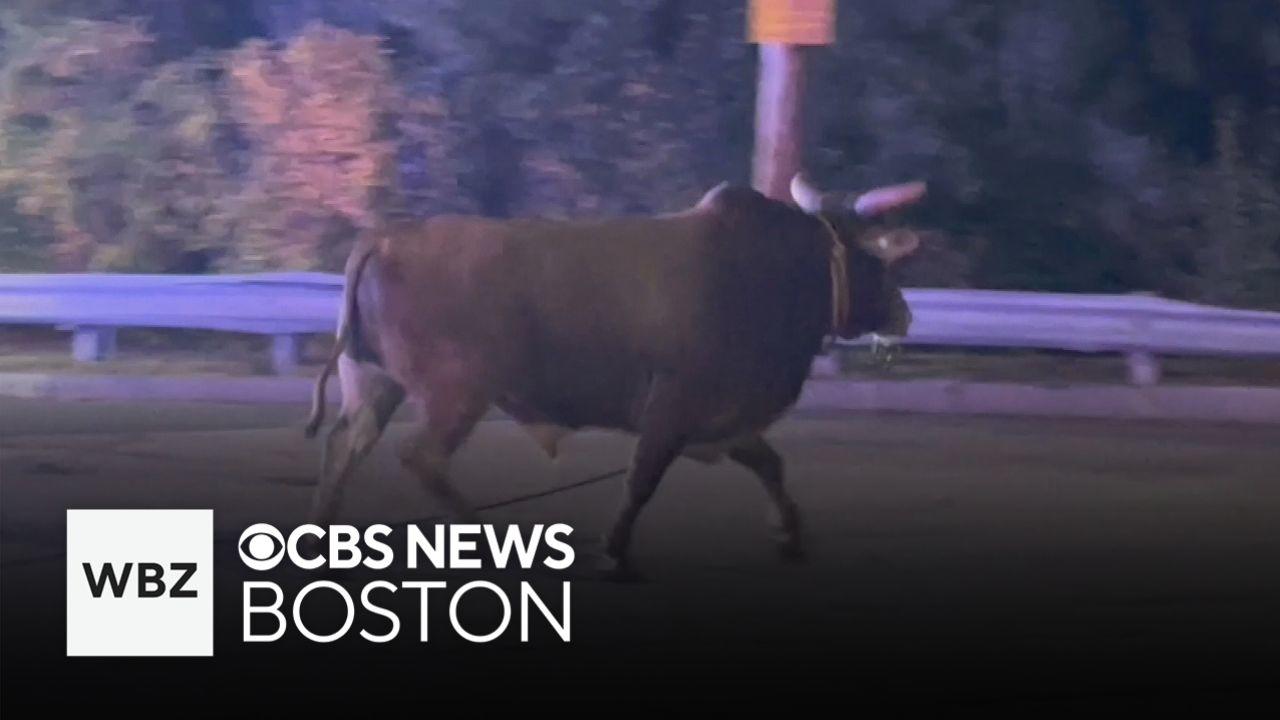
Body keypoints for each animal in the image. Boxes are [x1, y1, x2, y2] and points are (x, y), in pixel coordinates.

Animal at [303, 173, 925, 578]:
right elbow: (641, 480)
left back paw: (325, 533)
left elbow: (770, 464)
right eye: (877, 257)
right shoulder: (673, 410)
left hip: (375, 385)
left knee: (344, 447)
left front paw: (790, 533)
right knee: (420, 457)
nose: (904, 312)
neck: (775, 271)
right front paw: (615, 549)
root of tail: (387, 237)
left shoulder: (721, 420)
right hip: (456, 395)